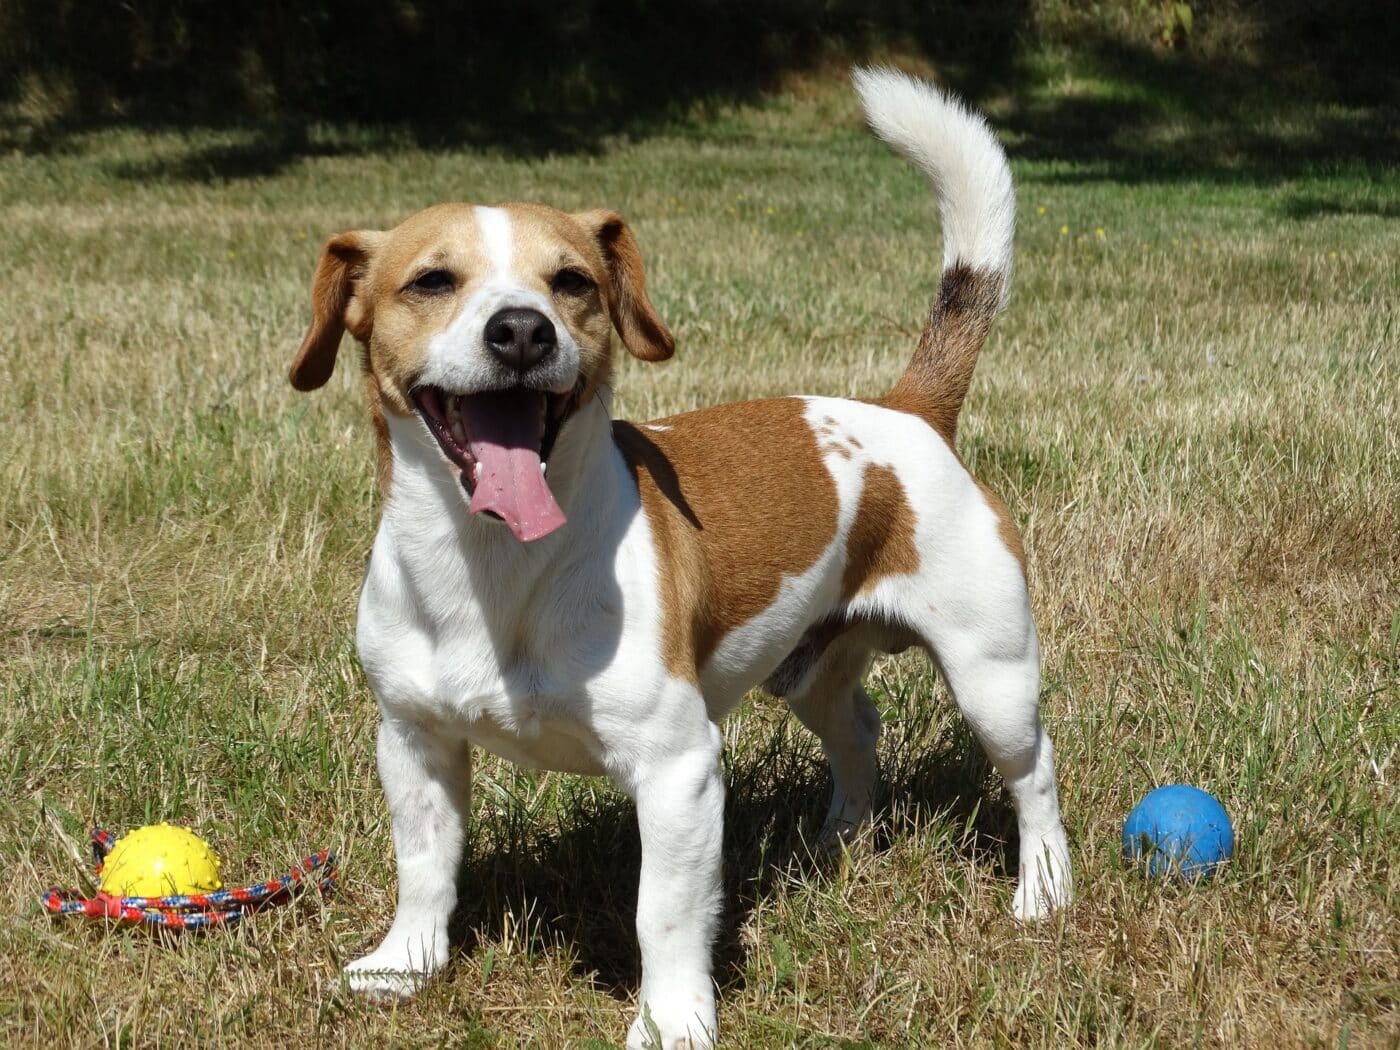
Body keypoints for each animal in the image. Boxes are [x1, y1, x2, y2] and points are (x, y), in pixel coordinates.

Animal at [292, 70, 1069, 1047]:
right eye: (431, 280)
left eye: (573, 282)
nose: (522, 330)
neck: (496, 564)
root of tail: (909, 411)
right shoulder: (413, 740)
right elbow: (424, 865)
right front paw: (405, 964)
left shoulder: (678, 770)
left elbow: (661, 913)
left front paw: (671, 1023)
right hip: (810, 672)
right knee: (859, 734)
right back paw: (836, 842)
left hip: (992, 676)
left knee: (1034, 775)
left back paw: (1044, 895)